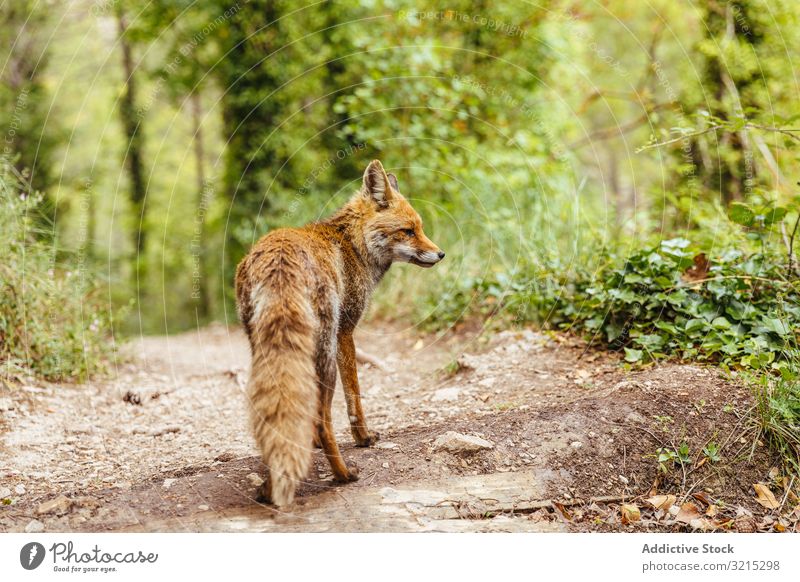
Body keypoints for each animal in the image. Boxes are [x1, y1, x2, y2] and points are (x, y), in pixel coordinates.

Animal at [233, 159, 444, 506]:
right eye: (408, 231)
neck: (354, 246)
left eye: (421, 228)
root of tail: (279, 259)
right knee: (323, 420)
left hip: (265, 351)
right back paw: (343, 475)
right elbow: (354, 397)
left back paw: (269, 485)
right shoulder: (347, 331)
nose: (441, 254)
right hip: (325, 356)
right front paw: (364, 437)